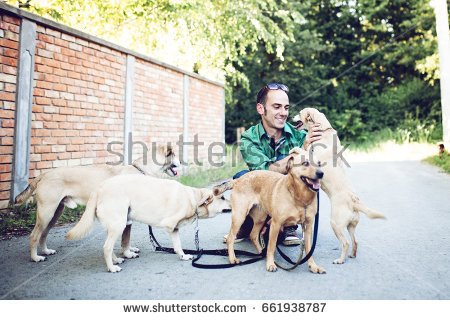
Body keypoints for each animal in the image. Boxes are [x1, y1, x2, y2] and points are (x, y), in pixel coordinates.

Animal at [15, 145, 181, 262]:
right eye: (175, 155)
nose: (181, 163)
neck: (141, 170)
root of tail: (44, 174)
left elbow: (125, 239)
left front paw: (128, 251)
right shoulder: (126, 217)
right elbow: (125, 238)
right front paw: (127, 254)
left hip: (55, 213)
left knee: (43, 234)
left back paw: (45, 251)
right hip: (46, 213)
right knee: (34, 235)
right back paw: (35, 257)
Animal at [66, 175, 232, 272]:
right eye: (223, 198)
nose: (233, 202)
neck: (193, 198)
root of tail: (99, 188)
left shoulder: (175, 229)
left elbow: (177, 246)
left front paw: (183, 256)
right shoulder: (170, 225)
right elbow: (177, 244)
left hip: (116, 225)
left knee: (109, 246)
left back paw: (116, 259)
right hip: (119, 225)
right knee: (106, 247)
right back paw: (112, 267)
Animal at [294, 109, 384, 264]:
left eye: (299, 113)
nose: (291, 115)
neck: (323, 130)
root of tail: (354, 202)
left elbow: (304, 151)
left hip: (335, 223)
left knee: (345, 243)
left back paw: (340, 260)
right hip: (350, 226)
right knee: (355, 241)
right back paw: (352, 255)